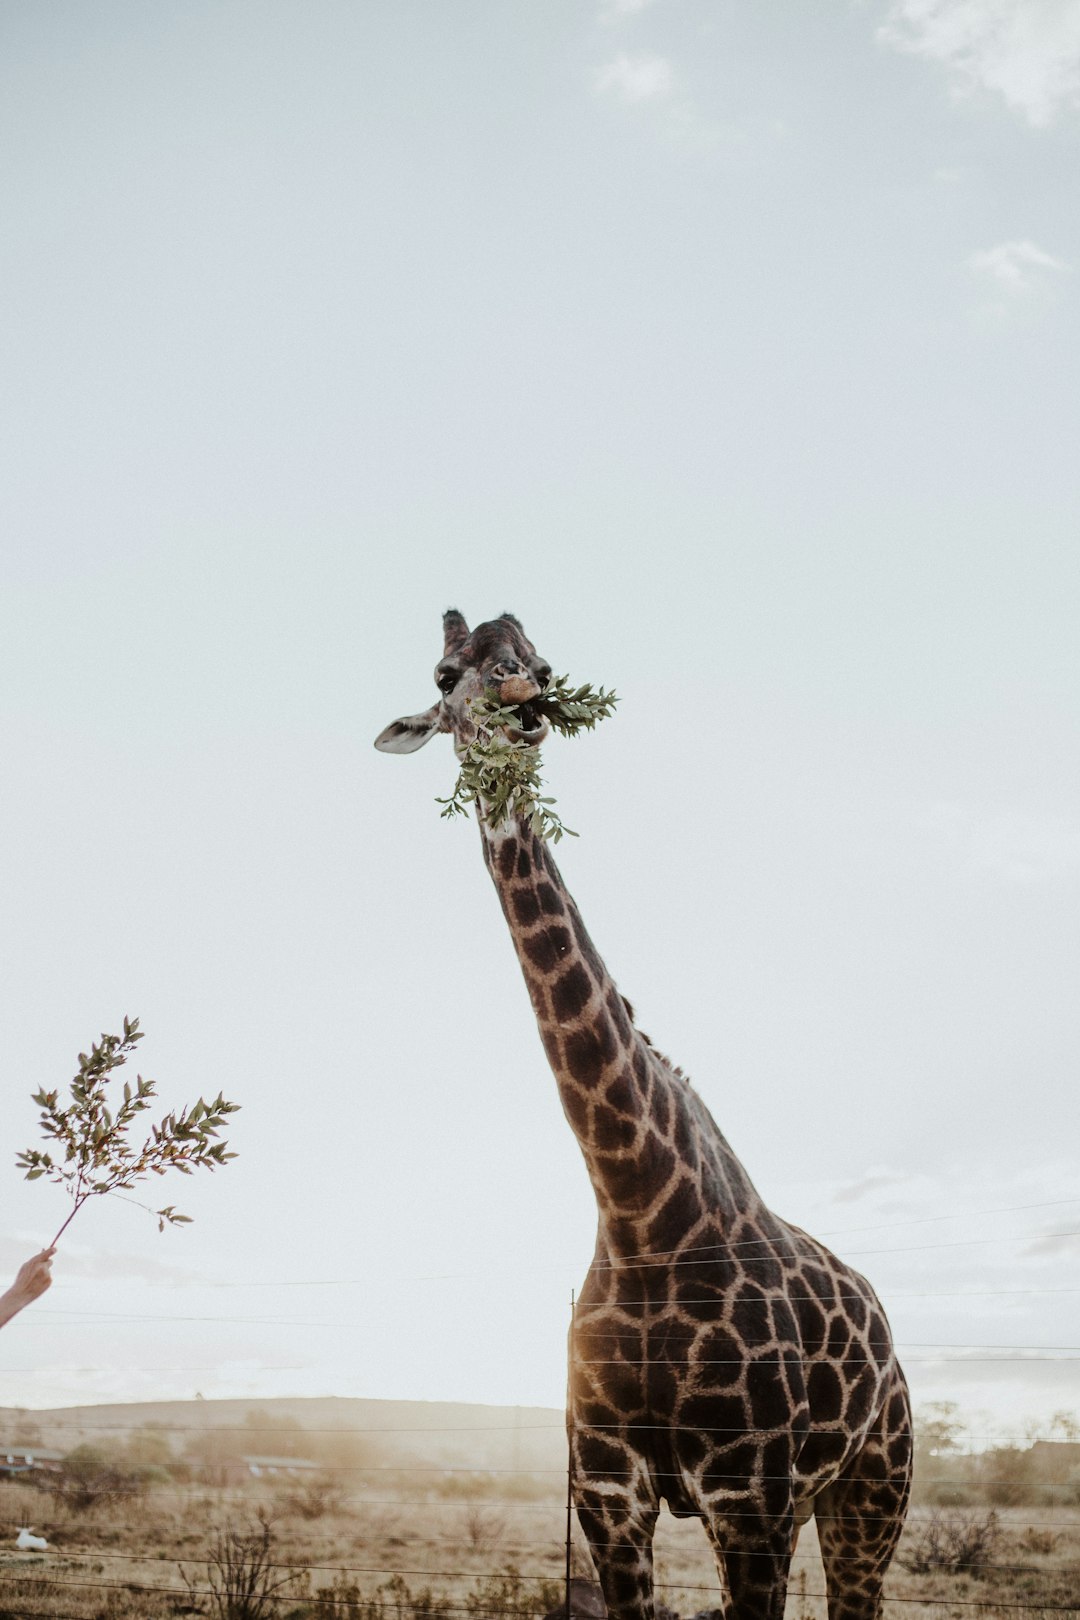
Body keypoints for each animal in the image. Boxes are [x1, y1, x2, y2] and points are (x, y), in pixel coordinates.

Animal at [378, 609, 913, 1620]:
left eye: (540, 660)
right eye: (445, 672)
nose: (523, 698)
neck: (638, 1207)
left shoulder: (749, 1497)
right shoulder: (608, 1493)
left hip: (876, 1486)